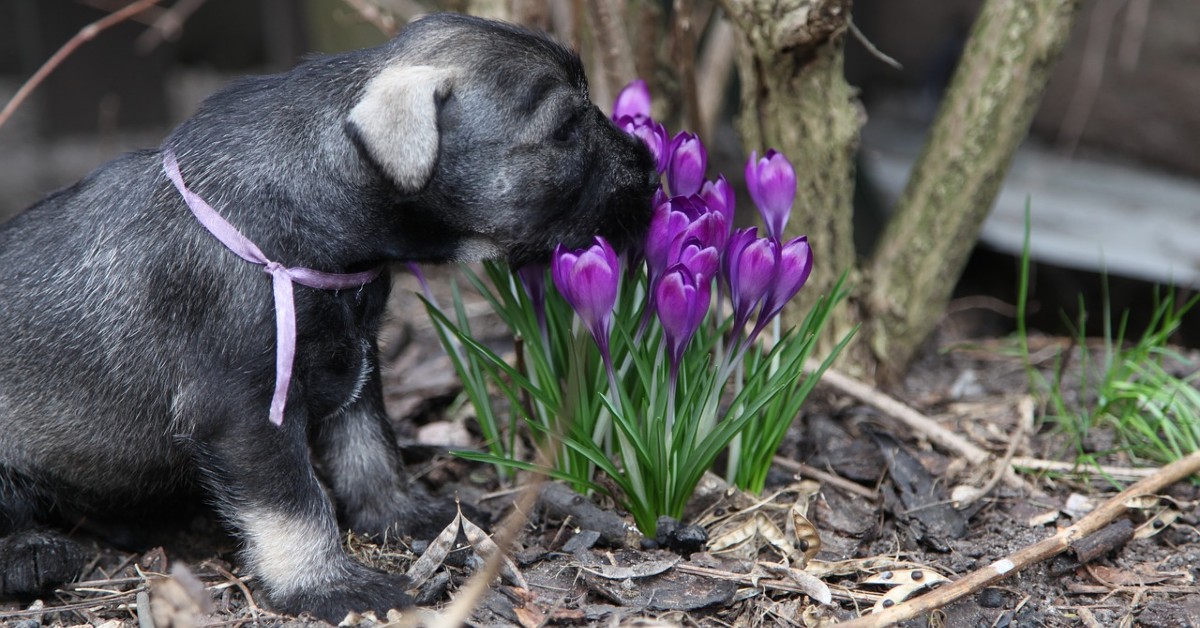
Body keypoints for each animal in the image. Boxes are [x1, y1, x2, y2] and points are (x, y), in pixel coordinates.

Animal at [0, 12, 657, 619]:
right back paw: (34, 554)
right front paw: (327, 585)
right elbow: (293, 506)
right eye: (566, 129)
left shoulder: (355, 365)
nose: (649, 167)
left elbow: (370, 452)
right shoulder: (246, 412)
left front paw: (404, 515)